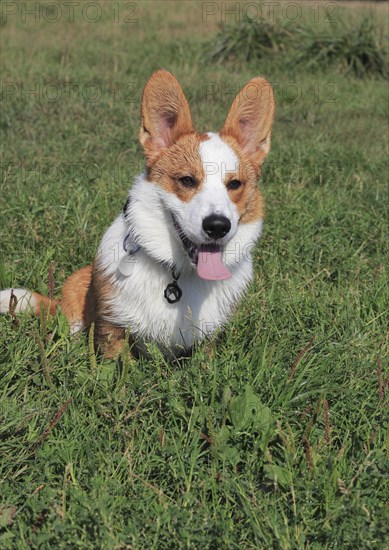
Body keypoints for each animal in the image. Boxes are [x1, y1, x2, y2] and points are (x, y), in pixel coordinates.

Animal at [0, 70, 274, 358]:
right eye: (187, 180)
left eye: (235, 184)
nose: (218, 226)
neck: (178, 273)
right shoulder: (113, 328)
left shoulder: (207, 340)